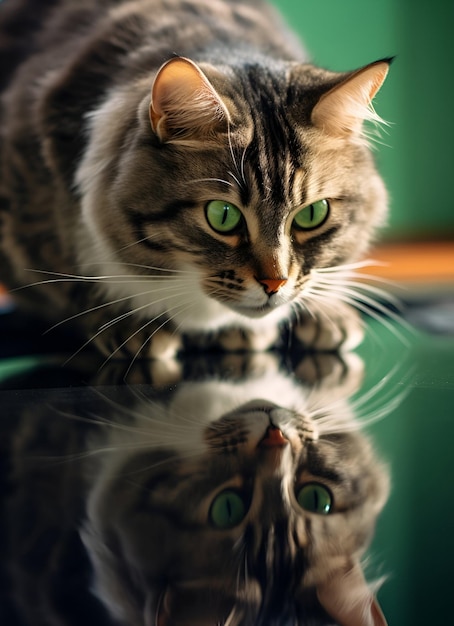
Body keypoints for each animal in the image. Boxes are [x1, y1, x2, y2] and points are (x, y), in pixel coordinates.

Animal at [0, 0, 390, 360]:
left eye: (312, 214)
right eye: (222, 216)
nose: (274, 283)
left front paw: (325, 313)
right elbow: (71, 279)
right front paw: (131, 325)